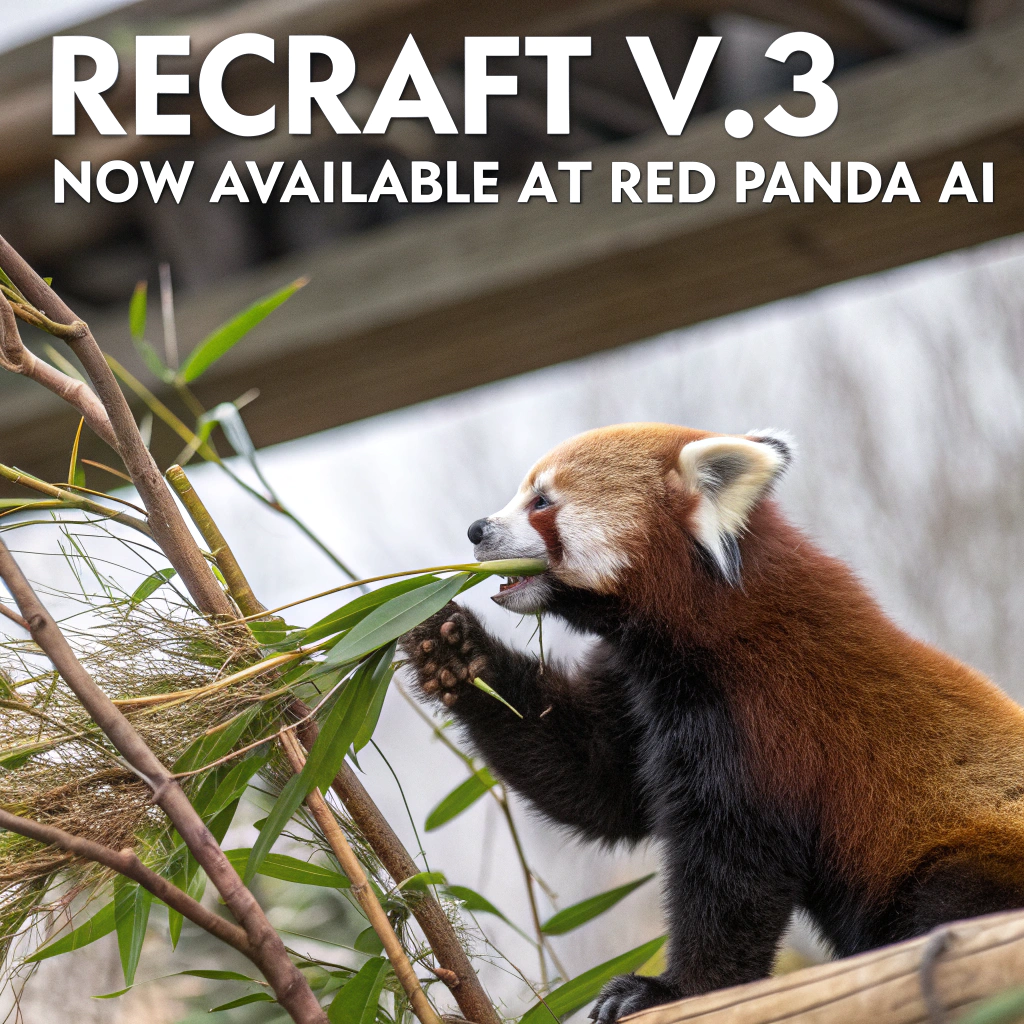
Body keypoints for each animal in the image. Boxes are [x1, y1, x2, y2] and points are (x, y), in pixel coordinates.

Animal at [401, 423, 1024, 1021]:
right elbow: (598, 781)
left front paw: (670, 990)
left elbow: (733, 874)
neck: (708, 622)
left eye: (541, 501)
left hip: (967, 859)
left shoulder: (767, 715)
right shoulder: (636, 684)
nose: (476, 530)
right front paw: (450, 649)